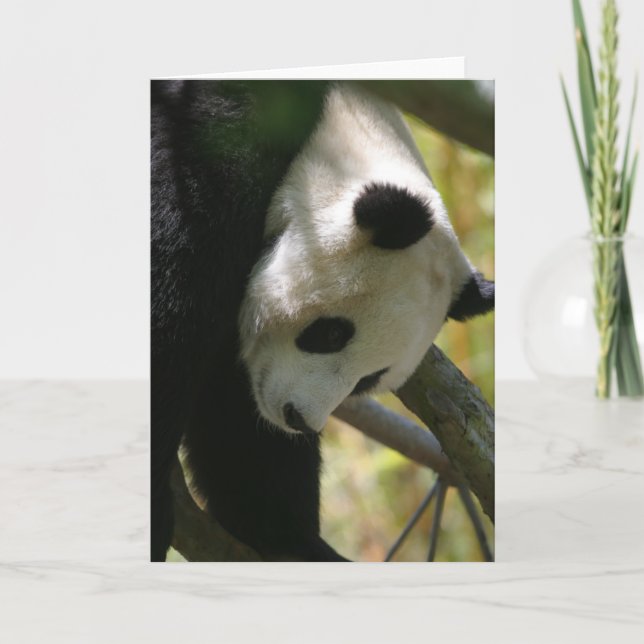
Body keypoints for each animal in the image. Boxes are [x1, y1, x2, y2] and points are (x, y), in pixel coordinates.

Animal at [151, 80, 494, 562]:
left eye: (369, 379)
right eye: (331, 334)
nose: (298, 418)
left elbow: (237, 414)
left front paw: (291, 538)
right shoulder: (209, 150)